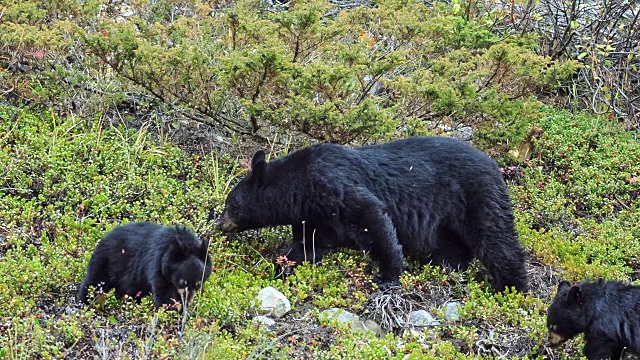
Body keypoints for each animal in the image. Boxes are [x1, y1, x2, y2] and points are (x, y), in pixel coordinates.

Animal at [77, 222, 212, 310]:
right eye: (182, 282)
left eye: (198, 284)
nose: (186, 300)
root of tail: (103, 238)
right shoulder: (157, 264)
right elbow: (164, 294)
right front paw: (172, 310)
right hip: (106, 263)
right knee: (94, 282)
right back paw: (84, 302)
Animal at [218, 136, 528, 292]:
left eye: (231, 204)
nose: (220, 224)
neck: (301, 188)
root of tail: (494, 164)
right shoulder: (316, 216)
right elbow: (308, 245)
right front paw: (281, 267)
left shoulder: (336, 187)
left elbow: (372, 219)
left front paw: (388, 275)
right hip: (447, 218)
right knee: (453, 244)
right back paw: (444, 265)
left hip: (475, 195)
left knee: (495, 238)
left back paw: (512, 287)